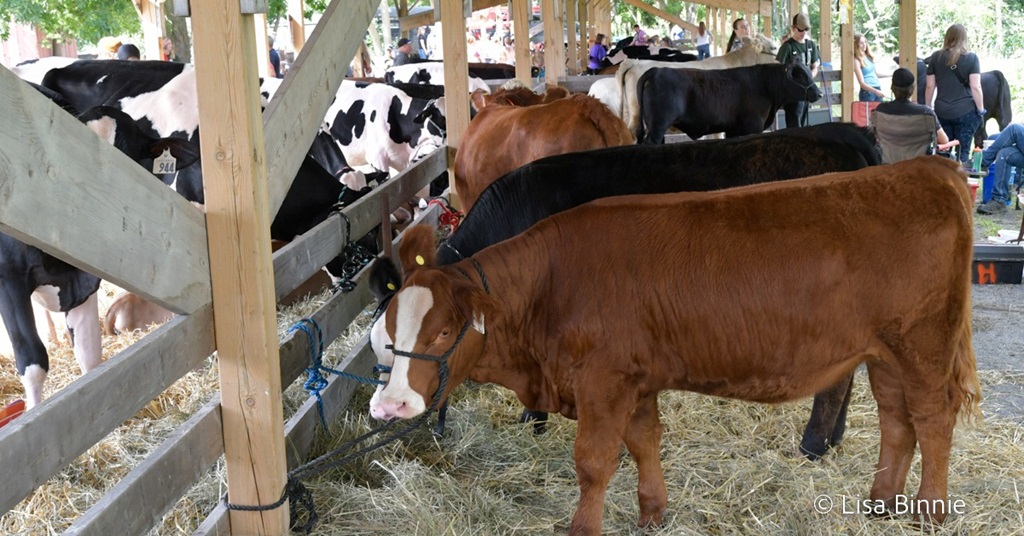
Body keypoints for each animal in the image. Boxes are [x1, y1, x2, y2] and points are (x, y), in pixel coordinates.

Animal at [370, 122, 881, 457]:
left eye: (437, 335)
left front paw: (536, 420)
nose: (390, 410)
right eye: (383, 343)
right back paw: (832, 438)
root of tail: (845, 135)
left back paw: (812, 444)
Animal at [370, 156, 980, 533]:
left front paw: (585, 527)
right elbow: (644, 443)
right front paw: (652, 515)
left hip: (924, 345)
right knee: (897, 421)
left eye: (442, 331)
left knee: (933, 419)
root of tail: (927, 168)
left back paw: (928, 513)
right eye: (387, 330)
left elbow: (594, 462)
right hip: (885, 353)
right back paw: (880, 504)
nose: (390, 405)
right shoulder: (635, 380)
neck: (550, 283)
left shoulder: (603, 381)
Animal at [636, 60, 822, 143]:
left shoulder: (733, 129)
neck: (764, 83)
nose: (819, 93)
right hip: (658, 125)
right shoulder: (753, 124)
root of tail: (657, 70)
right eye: (800, 75)